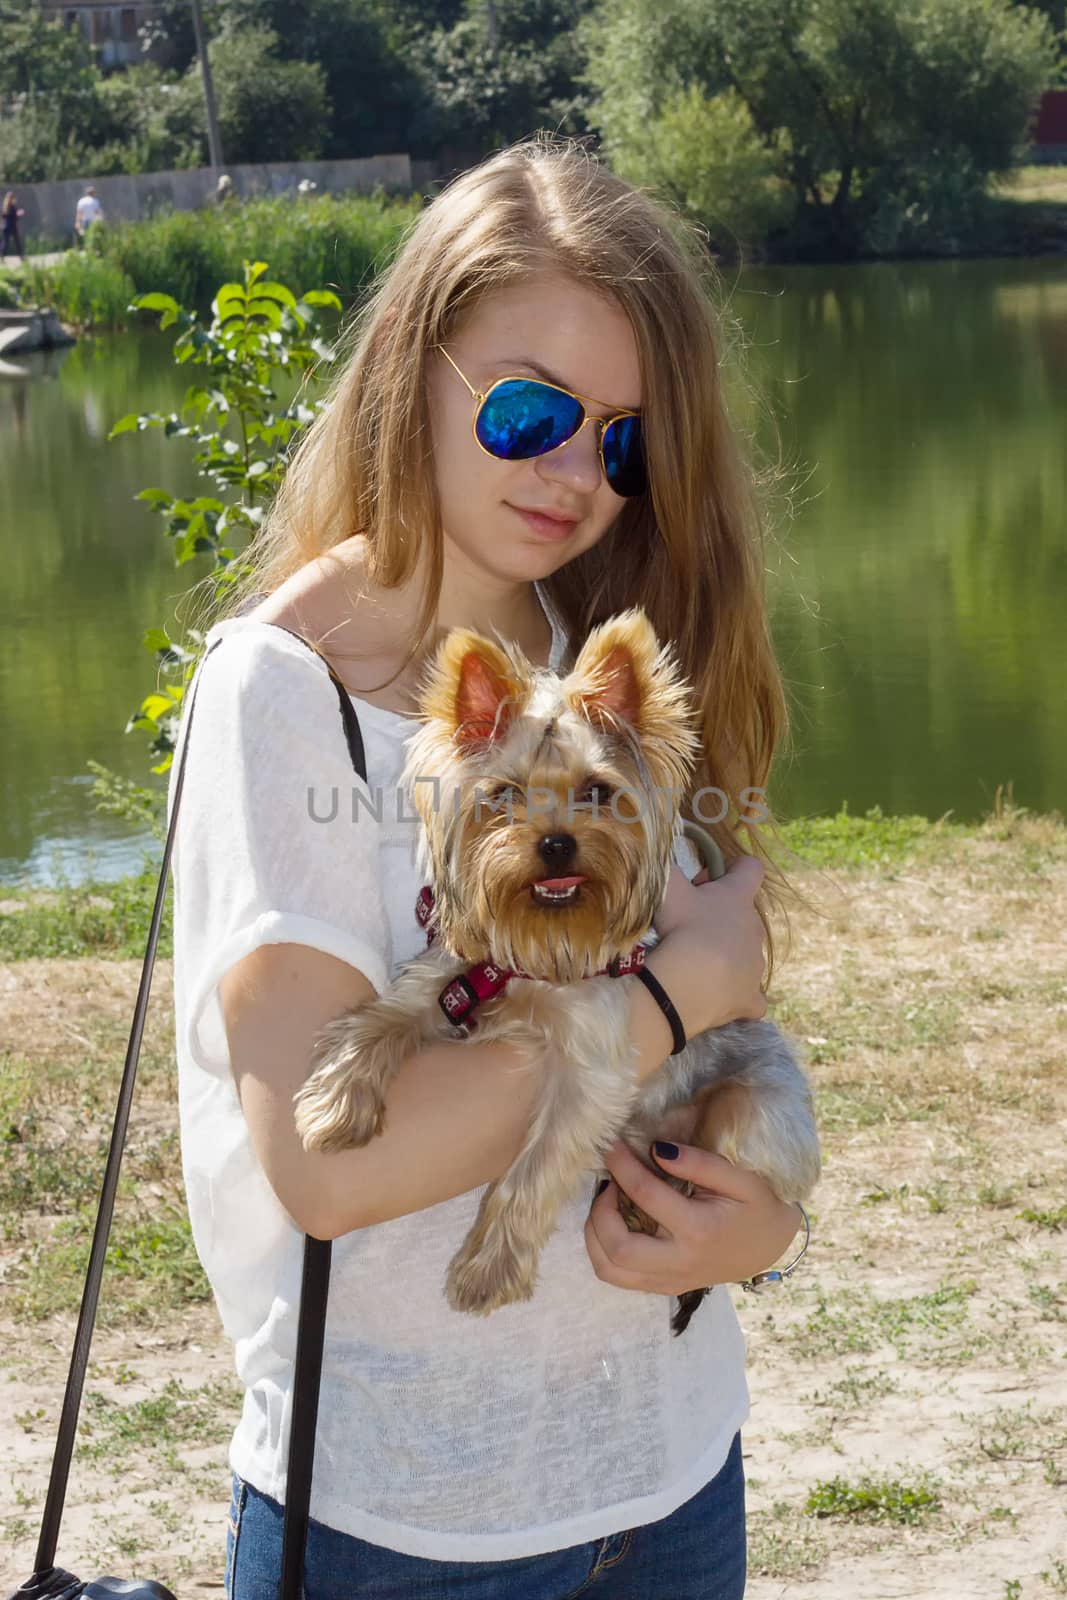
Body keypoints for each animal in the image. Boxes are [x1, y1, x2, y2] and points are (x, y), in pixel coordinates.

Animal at [295, 608, 825, 1324]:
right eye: (504, 794)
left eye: (598, 791)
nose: (554, 843)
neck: (537, 955)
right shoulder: (440, 980)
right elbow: (373, 1023)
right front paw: (333, 1106)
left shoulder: (590, 1070)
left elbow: (534, 1167)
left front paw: (487, 1272)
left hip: (755, 1113)